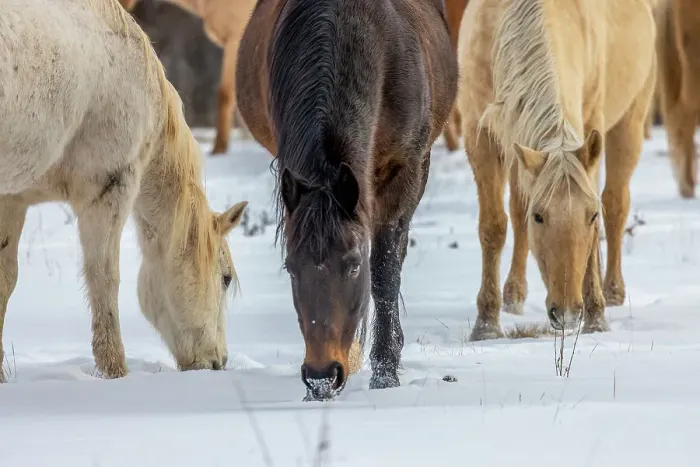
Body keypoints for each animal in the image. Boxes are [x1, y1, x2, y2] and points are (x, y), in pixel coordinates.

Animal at [236, 0, 458, 400]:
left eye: (354, 265)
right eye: (290, 268)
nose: (321, 376)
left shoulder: (405, 170)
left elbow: (385, 271)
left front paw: (385, 374)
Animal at [457, 0, 656, 340]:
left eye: (591, 216)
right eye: (539, 217)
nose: (567, 314)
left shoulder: (591, 125)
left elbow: (600, 223)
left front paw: (596, 318)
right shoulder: (480, 135)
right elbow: (494, 226)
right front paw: (486, 325)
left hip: (630, 122)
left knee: (617, 203)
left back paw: (613, 291)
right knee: (516, 211)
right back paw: (513, 295)